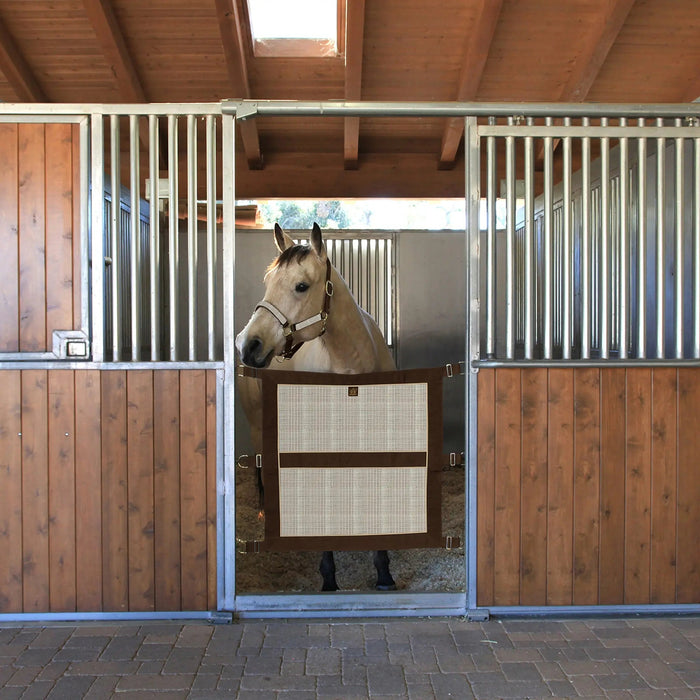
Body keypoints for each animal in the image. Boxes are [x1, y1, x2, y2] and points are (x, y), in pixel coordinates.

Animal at [235, 222, 397, 592]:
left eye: (301, 285)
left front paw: (383, 571)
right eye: (268, 281)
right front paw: (329, 577)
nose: (248, 345)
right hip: (258, 425)